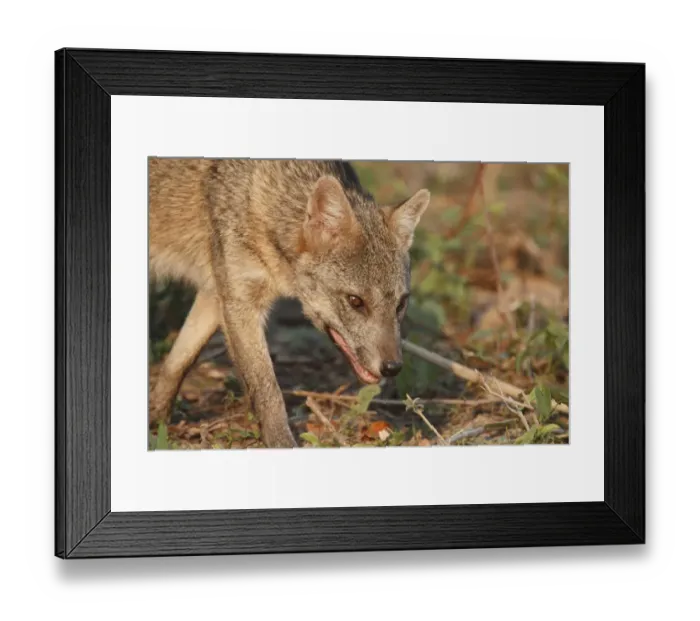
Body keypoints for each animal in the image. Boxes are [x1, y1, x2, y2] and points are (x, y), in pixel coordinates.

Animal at [148, 158, 431, 448]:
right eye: (355, 301)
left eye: (401, 304)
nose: (393, 367)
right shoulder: (241, 303)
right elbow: (267, 391)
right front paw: (281, 442)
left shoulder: (216, 294)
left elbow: (177, 364)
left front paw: (156, 421)